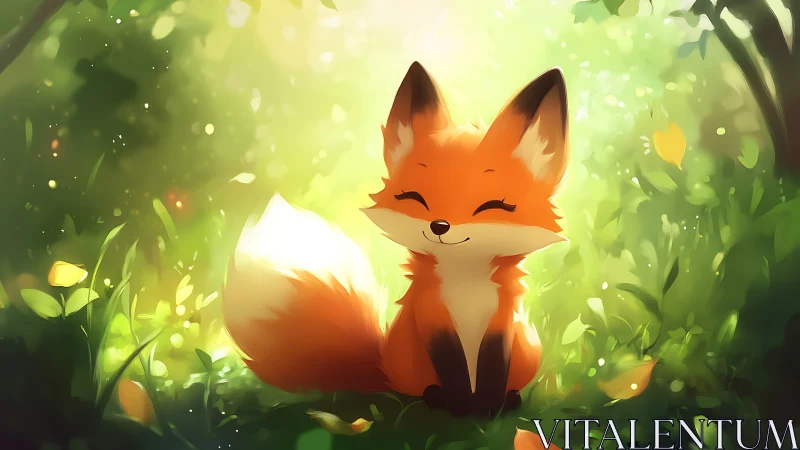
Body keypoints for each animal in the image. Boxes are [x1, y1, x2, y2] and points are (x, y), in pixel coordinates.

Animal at [223, 61, 569, 418]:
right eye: (414, 198)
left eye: (493, 206)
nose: (440, 226)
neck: (465, 286)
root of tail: (381, 366)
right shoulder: (433, 318)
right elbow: (453, 369)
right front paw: (462, 407)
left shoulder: (501, 323)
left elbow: (492, 369)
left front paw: (486, 409)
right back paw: (434, 398)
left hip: (528, 348)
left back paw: (509, 399)